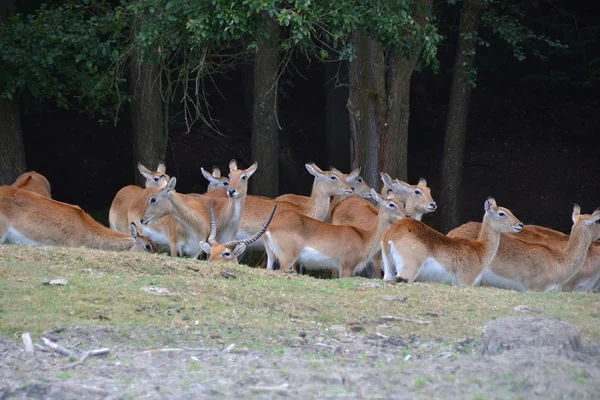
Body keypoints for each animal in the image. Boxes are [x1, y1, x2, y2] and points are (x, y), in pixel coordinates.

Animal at [262, 188, 404, 276]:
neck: (364, 238)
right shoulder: (347, 268)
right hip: (286, 260)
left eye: (402, 203)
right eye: (391, 204)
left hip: (272, 257)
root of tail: (270, 227)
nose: (405, 215)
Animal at [382, 197, 524, 284]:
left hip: (388, 269)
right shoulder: (465, 282)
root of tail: (390, 235)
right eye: (502, 213)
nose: (520, 224)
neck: (479, 249)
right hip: (408, 270)